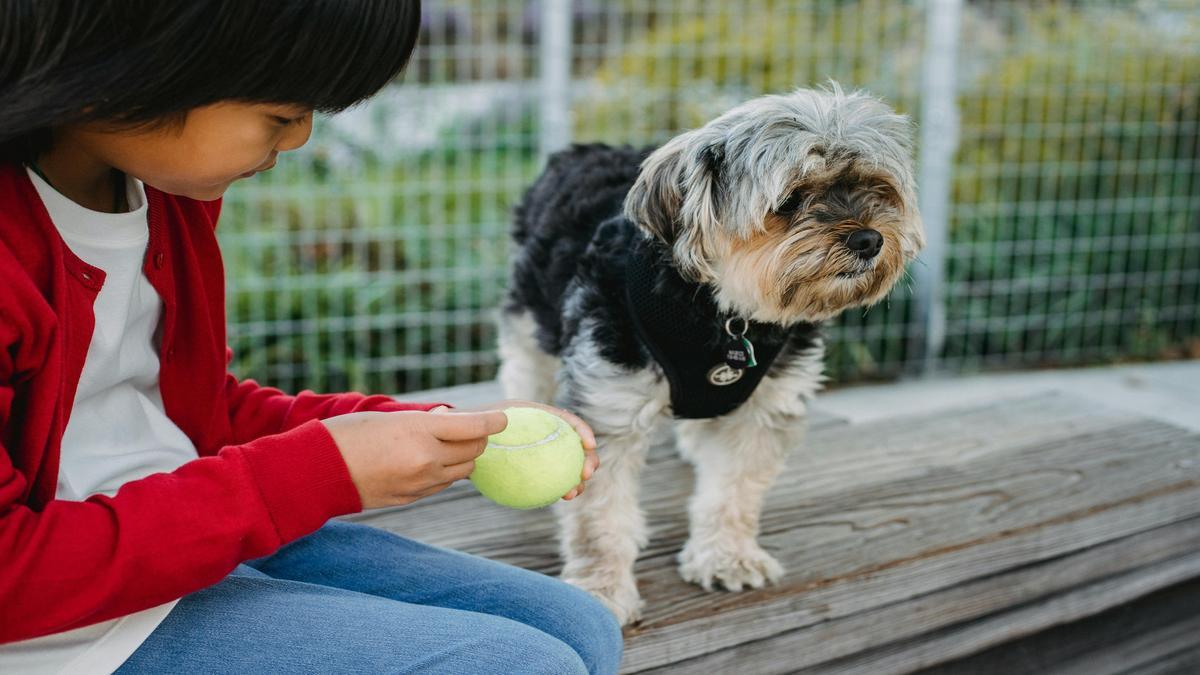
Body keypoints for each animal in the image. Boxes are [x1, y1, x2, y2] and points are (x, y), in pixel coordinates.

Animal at [492, 85, 921, 624]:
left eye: (876, 188)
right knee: (525, 367)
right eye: (790, 200)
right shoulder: (607, 405)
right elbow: (600, 517)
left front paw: (727, 557)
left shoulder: (762, 410)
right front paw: (601, 588)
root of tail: (584, 150)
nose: (869, 239)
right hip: (532, 311)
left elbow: (732, 492)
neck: (723, 315)